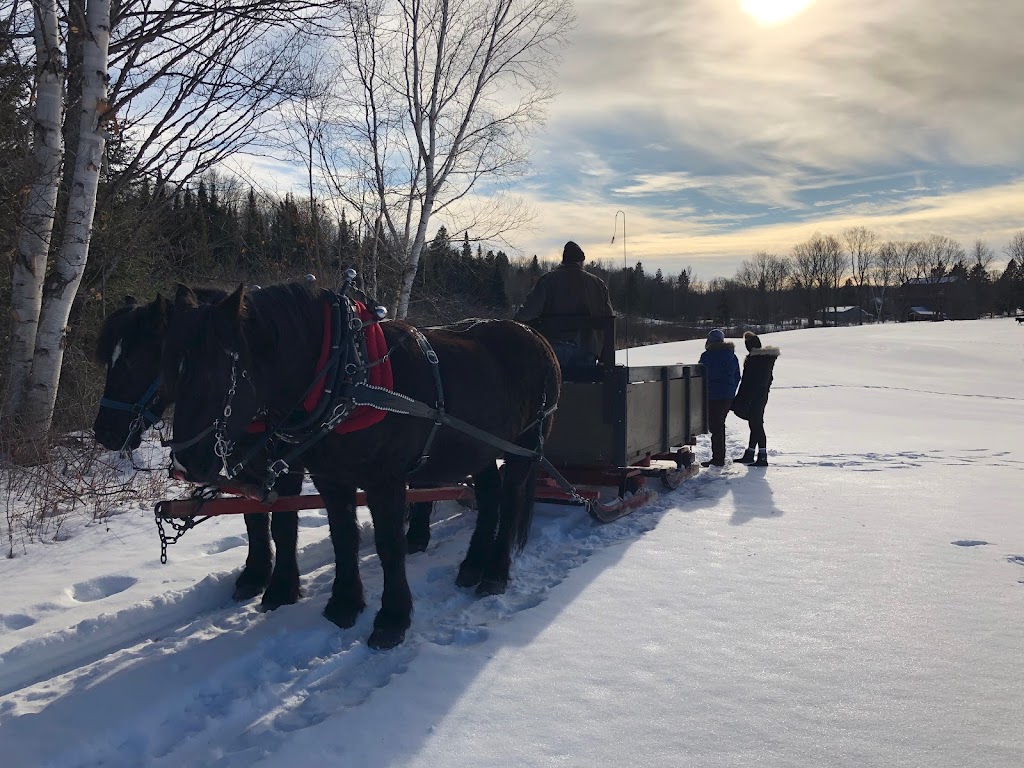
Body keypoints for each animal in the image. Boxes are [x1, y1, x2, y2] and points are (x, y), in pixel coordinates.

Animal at [92, 290, 303, 610]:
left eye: (134, 361)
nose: (104, 432)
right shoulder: (244, 467)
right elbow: (253, 517)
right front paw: (255, 575)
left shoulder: (290, 462)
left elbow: (284, 520)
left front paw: (282, 588)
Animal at [163, 282, 561, 651]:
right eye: (171, 371)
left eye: (215, 374)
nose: (185, 463)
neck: (345, 376)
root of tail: (536, 335)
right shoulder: (330, 479)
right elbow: (343, 538)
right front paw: (344, 603)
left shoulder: (385, 481)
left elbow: (388, 545)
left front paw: (392, 619)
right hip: (481, 448)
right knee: (490, 498)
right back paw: (473, 564)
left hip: (524, 447)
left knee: (509, 502)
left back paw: (495, 573)